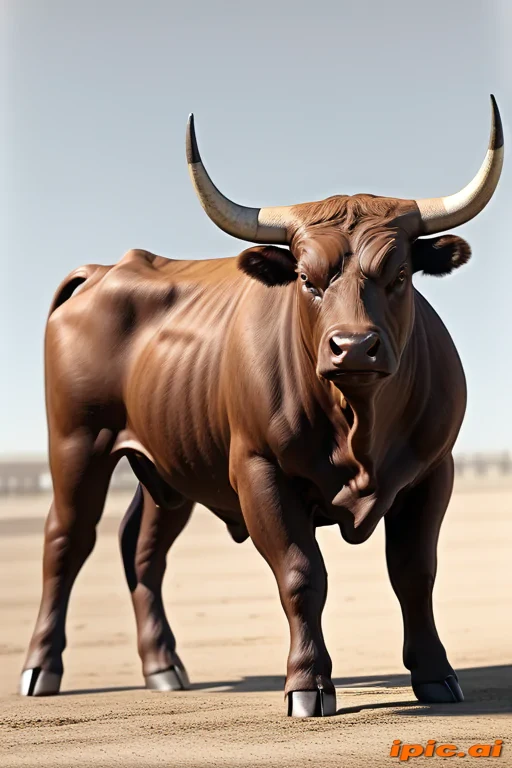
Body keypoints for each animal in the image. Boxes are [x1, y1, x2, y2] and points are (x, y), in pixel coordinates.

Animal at [20, 97, 503, 717]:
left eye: (399, 274)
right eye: (305, 278)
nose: (353, 347)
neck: (358, 423)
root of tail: (107, 270)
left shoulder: (432, 473)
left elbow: (415, 573)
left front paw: (437, 674)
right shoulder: (259, 472)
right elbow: (301, 574)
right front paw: (307, 684)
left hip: (167, 467)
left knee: (143, 548)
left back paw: (163, 667)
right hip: (78, 445)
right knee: (66, 540)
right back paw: (42, 668)